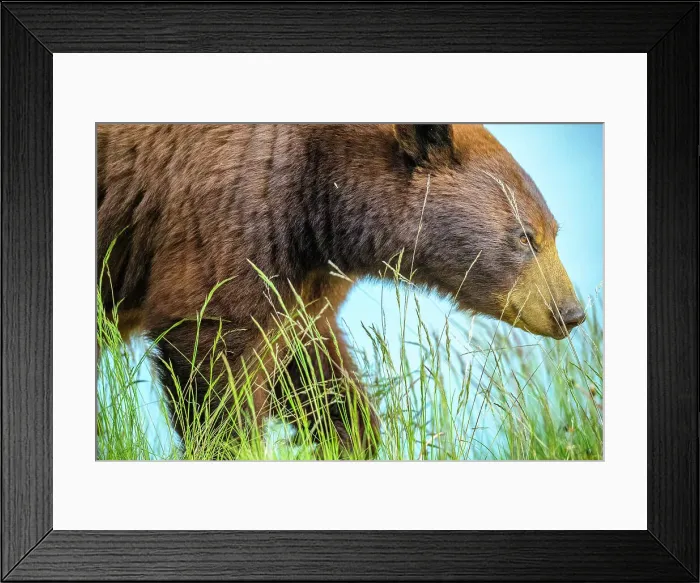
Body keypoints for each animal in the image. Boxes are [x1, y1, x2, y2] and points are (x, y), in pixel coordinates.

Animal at [97, 123, 585, 458]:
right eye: (526, 236)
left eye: (554, 231)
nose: (572, 312)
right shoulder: (229, 209)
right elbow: (214, 347)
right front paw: (231, 446)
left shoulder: (303, 270)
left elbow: (309, 365)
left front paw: (346, 437)